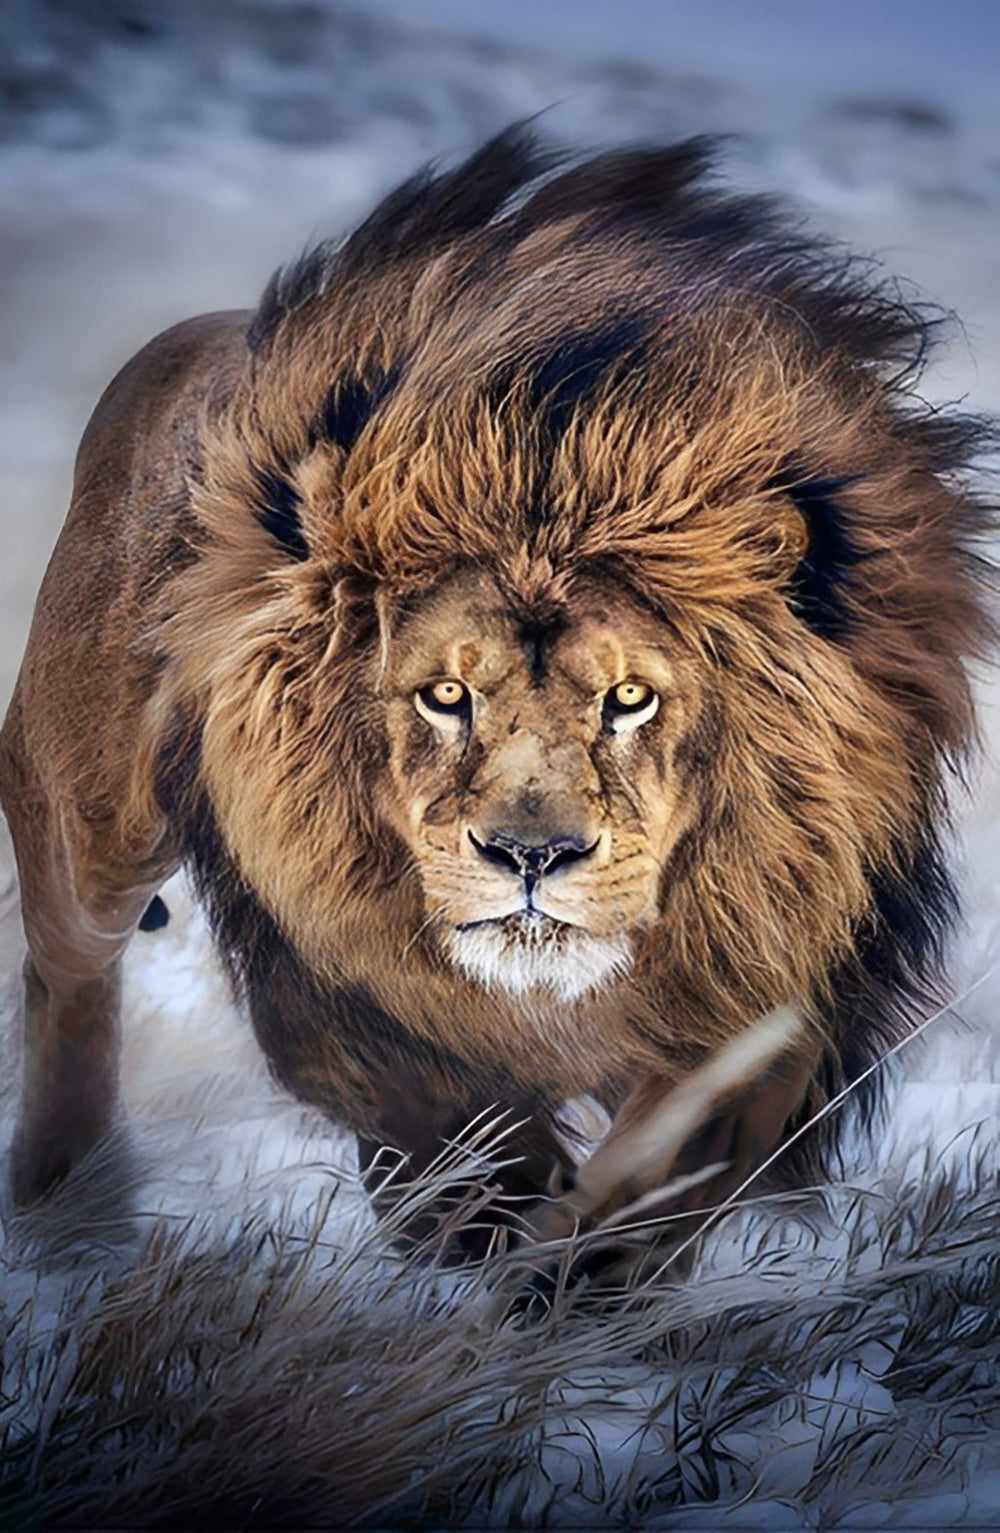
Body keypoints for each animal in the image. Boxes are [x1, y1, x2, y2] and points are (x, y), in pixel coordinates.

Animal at [1, 129, 994, 1253]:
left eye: (630, 698)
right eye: (443, 695)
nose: (532, 856)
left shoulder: (774, 986)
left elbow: (647, 1191)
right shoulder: (346, 995)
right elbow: (463, 1146)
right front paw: (488, 1237)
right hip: (88, 824)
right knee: (66, 972)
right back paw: (69, 1206)